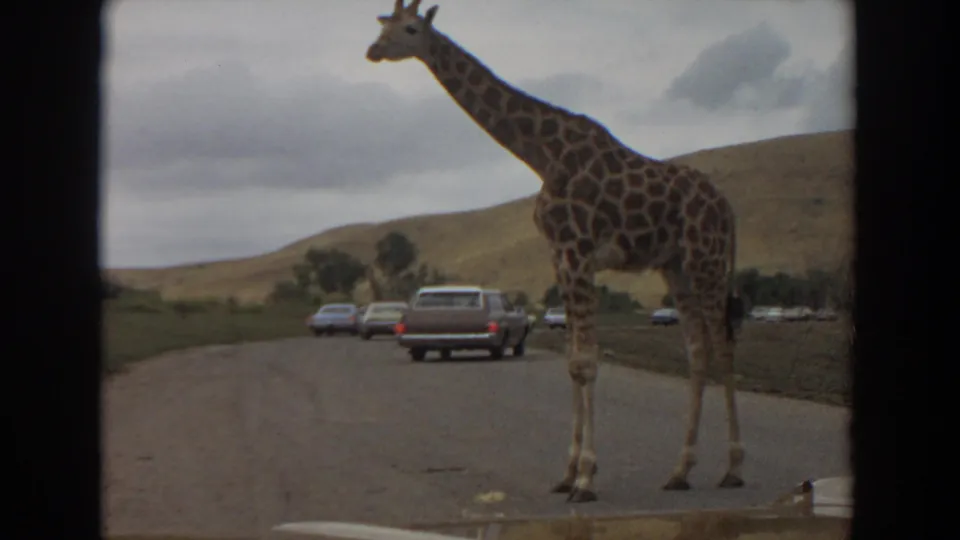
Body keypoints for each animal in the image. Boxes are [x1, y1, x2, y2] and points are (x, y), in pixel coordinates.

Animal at [365, 0, 747, 502]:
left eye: (410, 29)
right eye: (384, 24)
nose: (373, 50)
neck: (541, 154)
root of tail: (727, 207)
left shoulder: (577, 250)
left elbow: (587, 360)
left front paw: (585, 478)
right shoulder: (560, 257)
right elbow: (572, 363)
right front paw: (567, 473)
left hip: (707, 259)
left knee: (723, 346)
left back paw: (734, 469)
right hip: (676, 265)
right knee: (698, 350)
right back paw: (680, 471)